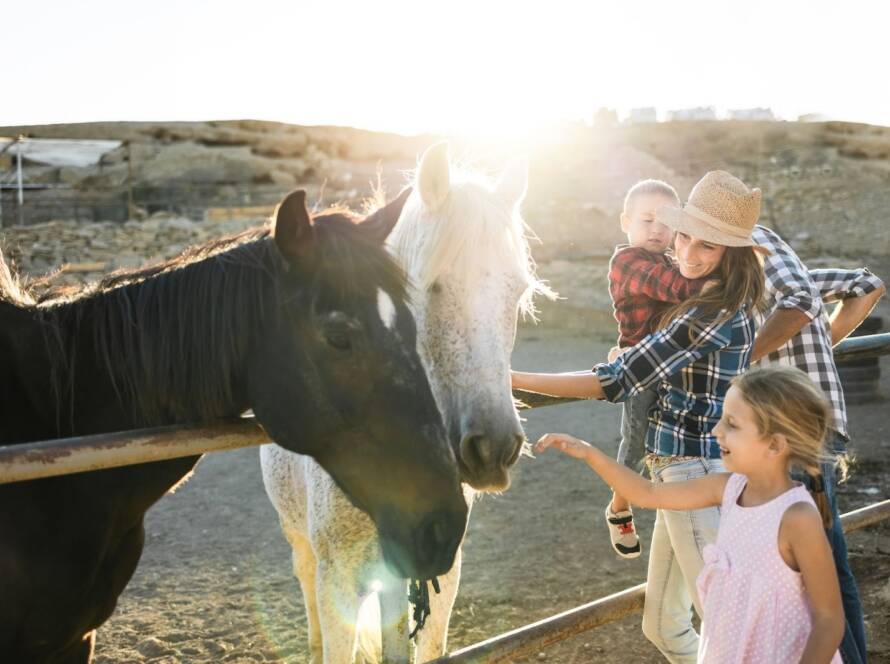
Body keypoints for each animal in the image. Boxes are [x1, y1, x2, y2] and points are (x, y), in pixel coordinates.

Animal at [261, 143, 551, 663]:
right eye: (430, 286)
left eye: (517, 293)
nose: (494, 448)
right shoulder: (338, 580)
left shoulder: (440, 568)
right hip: (300, 540)